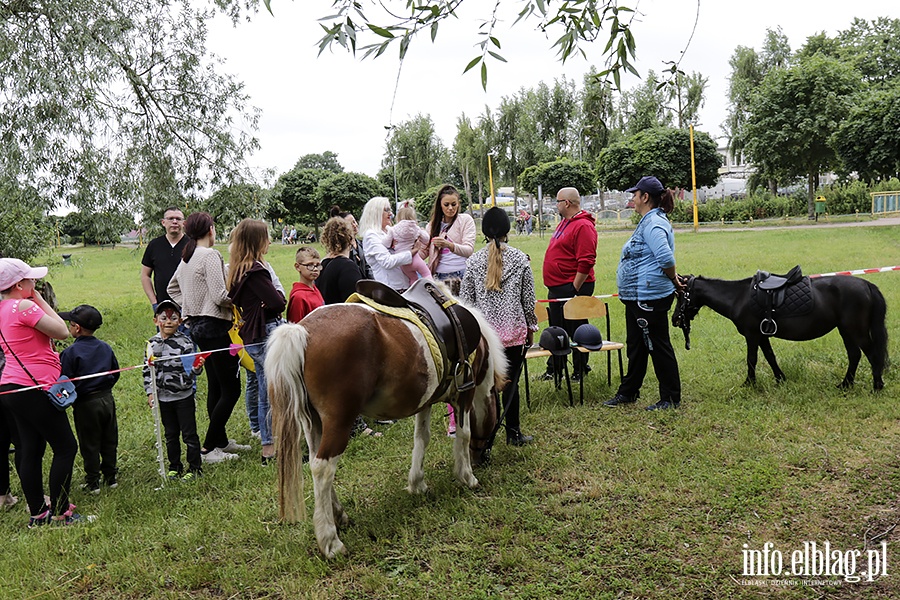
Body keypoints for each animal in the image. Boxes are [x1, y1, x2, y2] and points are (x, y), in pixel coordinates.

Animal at [266, 300, 506, 556]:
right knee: (323, 468)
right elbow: (463, 435)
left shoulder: (426, 400)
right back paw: (330, 540)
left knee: (314, 462)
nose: (481, 459)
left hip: (313, 424)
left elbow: (421, 438)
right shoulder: (465, 394)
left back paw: (339, 515)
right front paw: (467, 477)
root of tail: (303, 330)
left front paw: (418, 483)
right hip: (339, 421)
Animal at [672, 274, 888, 392]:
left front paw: (749, 383)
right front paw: (780, 378)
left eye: (680, 295)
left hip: (856, 331)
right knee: (855, 355)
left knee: (872, 355)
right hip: (846, 331)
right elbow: (770, 356)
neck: (738, 297)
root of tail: (866, 285)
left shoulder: (752, 335)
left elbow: (752, 359)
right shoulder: (762, 336)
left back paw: (877, 386)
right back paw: (846, 384)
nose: (674, 319)